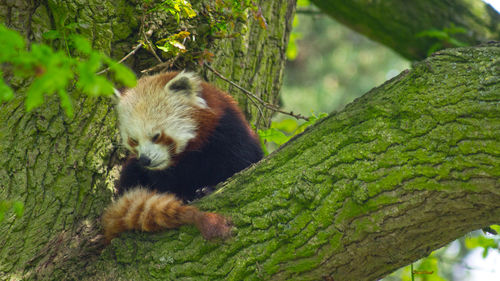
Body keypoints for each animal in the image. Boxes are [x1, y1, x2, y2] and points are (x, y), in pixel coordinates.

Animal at [103, 71, 264, 242]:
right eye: (133, 140)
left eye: (156, 136)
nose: (145, 159)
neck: (189, 154)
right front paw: (185, 195)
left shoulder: (229, 133)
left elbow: (240, 164)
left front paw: (205, 189)